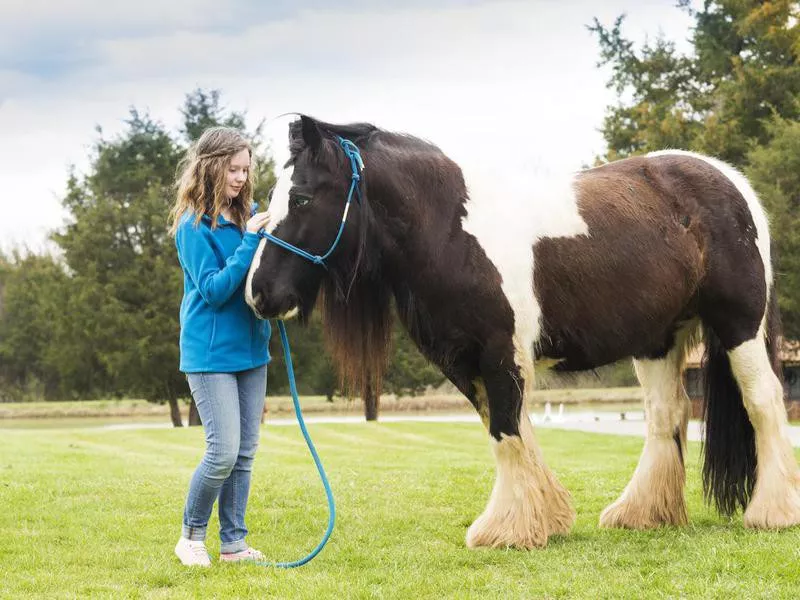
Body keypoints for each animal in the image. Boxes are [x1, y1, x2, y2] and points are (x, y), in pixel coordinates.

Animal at [244, 116, 800, 548]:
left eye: (301, 197)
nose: (258, 292)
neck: (451, 230)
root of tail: (732, 182)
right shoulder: (465, 361)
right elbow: (506, 431)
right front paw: (543, 518)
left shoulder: (499, 353)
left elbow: (507, 431)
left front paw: (509, 530)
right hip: (657, 340)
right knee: (668, 415)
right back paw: (643, 514)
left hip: (738, 326)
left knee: (763, 404)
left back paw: (772, 512)